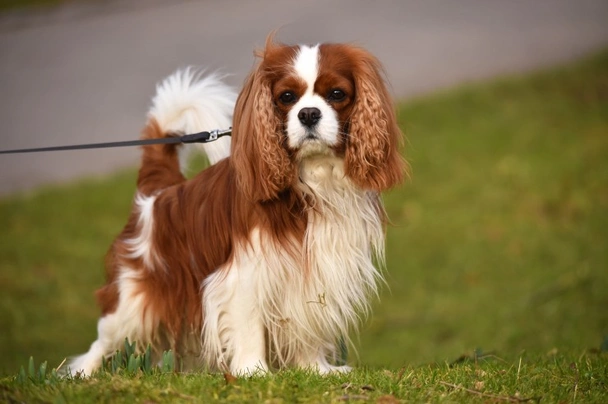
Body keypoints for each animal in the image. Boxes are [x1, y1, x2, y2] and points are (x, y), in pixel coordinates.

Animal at [69, 37, 406, 376]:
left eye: (337, 94)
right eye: (286, 97)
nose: (309, 113)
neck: (314, 176)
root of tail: (158, 194)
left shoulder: (317, 271)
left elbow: (308, 323)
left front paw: (315, 369)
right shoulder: (244, 274)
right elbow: (248, 326)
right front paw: (254, 373)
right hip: (132, 302)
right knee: (99, 345)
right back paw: (82, 374)